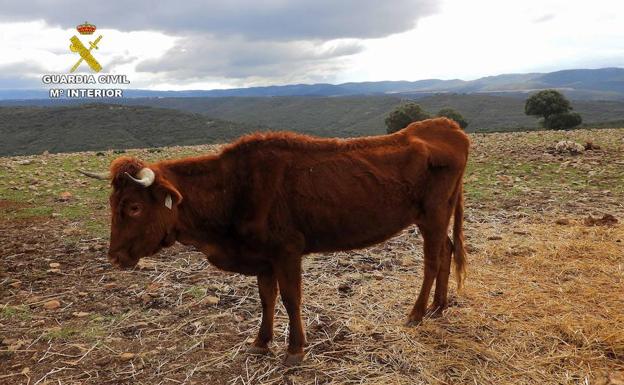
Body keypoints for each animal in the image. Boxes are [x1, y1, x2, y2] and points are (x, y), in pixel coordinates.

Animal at [80, 118, 468, 364]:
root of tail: (446, 126)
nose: (114, 257)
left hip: (432, 216)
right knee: (447, 251)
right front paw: (261, 342)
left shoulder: (287, 251)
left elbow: (291, 299)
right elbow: (266, 298)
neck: (234, 189)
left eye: (133, 207)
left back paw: (417, 313)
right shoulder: (262, 257)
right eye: (112, 204)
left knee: (433, 259)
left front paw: (295, 349)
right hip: (439, 216)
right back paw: (439, 307)